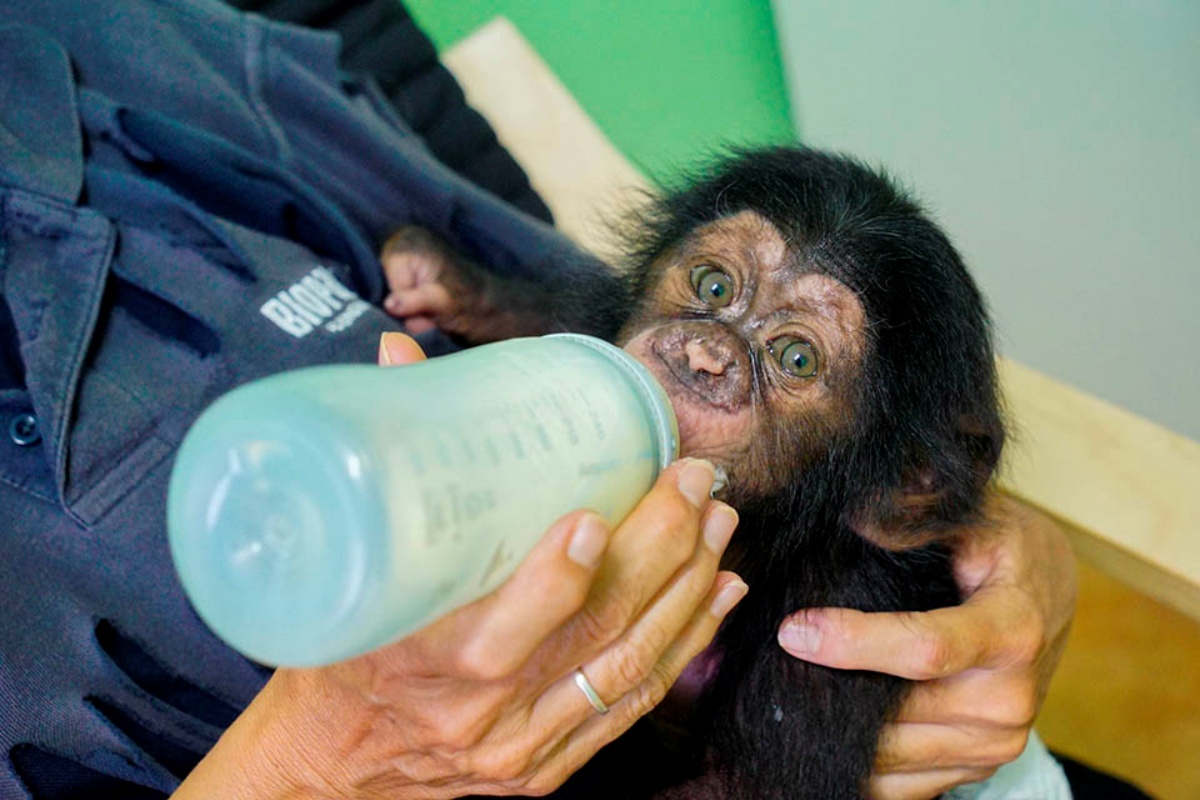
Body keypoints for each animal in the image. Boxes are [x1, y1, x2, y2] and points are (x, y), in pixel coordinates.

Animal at [384, 146, 1003, 796]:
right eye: (714, 285)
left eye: (797, 358)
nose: (706, 357)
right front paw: (446, 279)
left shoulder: (849, 606)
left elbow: (744, 787)